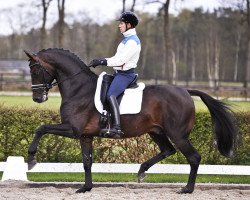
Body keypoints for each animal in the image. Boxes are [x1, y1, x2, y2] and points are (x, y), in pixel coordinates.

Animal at [24, 48, 238, 194]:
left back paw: (187, 189)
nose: (37, 98)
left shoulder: (73, 130)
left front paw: (32, 160)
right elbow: (87, 162)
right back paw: (142, 171)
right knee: (168, 150)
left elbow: (41, 128)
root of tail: (185, 91)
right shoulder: (85, 136)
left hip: (178, 135)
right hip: (156, 131)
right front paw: (86, 188)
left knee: (193, 157)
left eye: (35, 71)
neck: (79, 89)